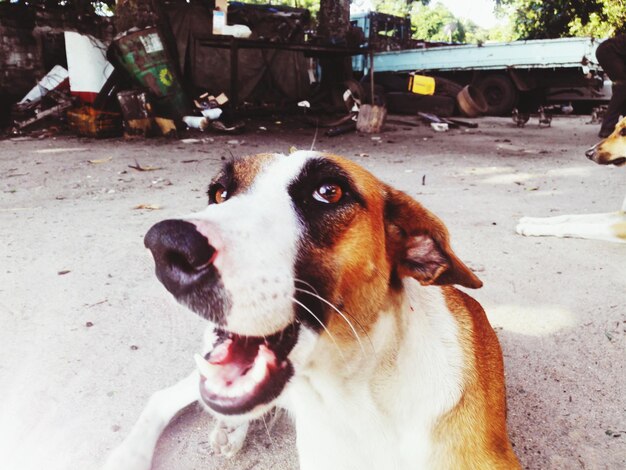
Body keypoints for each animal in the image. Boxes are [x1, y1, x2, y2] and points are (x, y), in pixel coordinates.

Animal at [516, 116, 624, 244]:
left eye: (624, 132)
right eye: (614, 128)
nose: (588, 153)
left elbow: (570, 226)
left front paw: (531, 227)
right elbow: (568, 217)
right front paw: (531, 220)